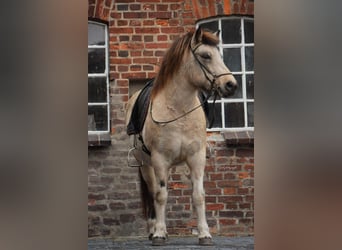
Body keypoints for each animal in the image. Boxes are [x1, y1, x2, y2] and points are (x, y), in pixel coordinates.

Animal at [125, 27, 235, 246]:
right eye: (205, 55)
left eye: (219, 55)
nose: (231, 85)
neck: (178, 110)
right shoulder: (159, 160)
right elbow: (160, 196)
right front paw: (159, 234)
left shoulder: (196, 158)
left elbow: (199, 195)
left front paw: (204, 234)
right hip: (146, 165)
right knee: (153, 192)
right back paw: (154, 230)